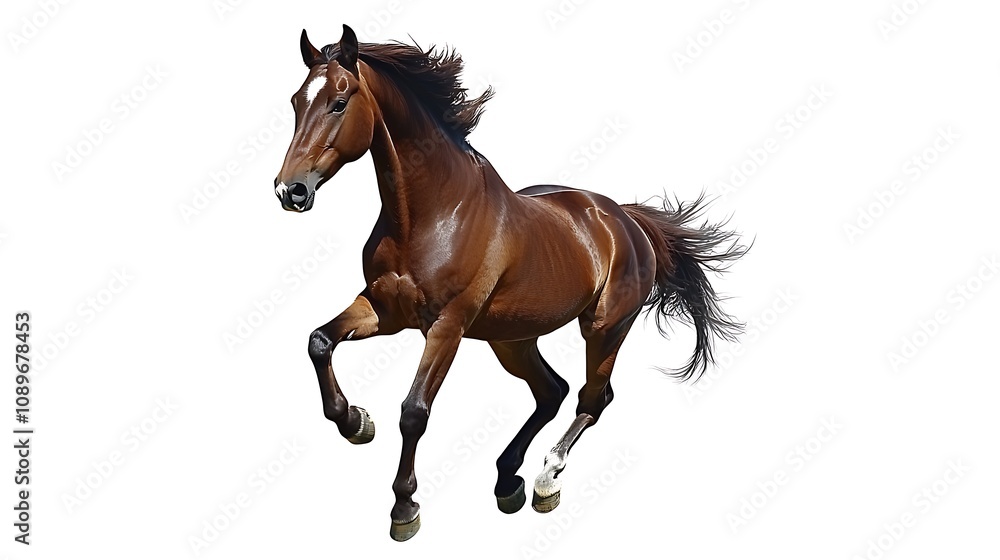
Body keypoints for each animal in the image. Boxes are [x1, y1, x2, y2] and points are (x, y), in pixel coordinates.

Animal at [274, 25, 748, 541]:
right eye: (296, 101)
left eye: (339, 102)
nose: (289, 190)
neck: (431, 212)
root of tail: (625, 219)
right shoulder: (383, 309)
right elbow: (319, 341)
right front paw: (356, 422)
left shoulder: (448, 326)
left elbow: (414, 411)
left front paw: (404, 507)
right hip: (512, 339)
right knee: (552, 391)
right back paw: (507, 480)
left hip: (604, 329)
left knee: (591, 398)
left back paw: (545, 480)